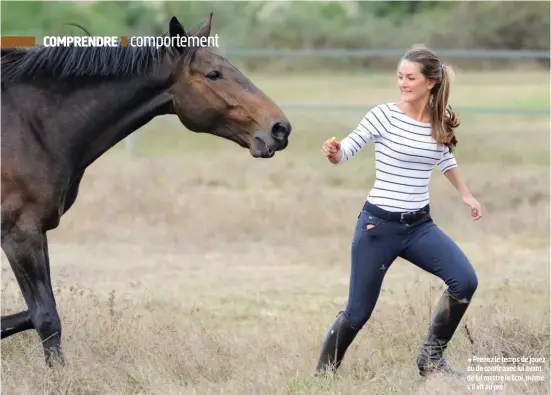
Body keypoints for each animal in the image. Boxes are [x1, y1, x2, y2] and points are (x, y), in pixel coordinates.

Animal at [0, 13, 294, 366]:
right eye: (214, 74)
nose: (279, 128)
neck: (30, 125)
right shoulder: (22, 233)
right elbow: (45, 316)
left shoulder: (37, 231)